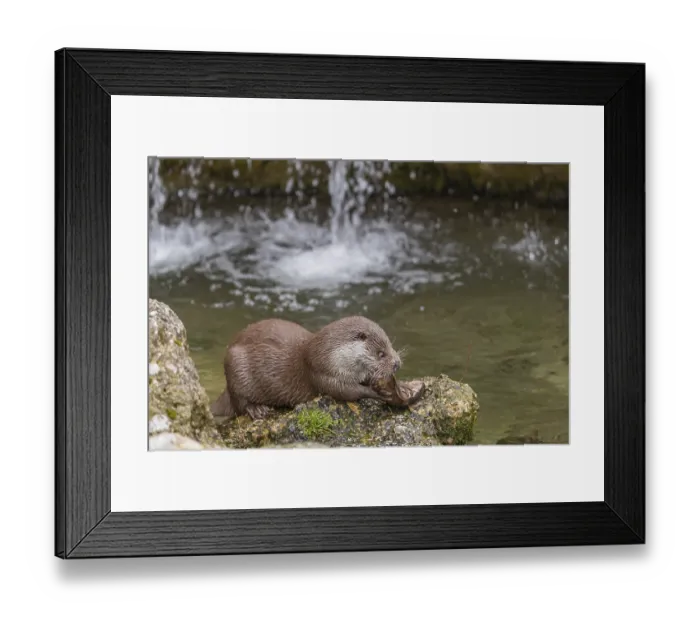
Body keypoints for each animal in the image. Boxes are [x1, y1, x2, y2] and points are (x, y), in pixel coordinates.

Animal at [211, 316, 425, 420]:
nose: (397, 363)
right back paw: (257, 410)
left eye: (391, 345)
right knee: (239, 403)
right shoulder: (323, 373)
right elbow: (347, 392)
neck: (329, 354)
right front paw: (378, 392)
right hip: (236, 367)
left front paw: (404, 386)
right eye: (381, 353)